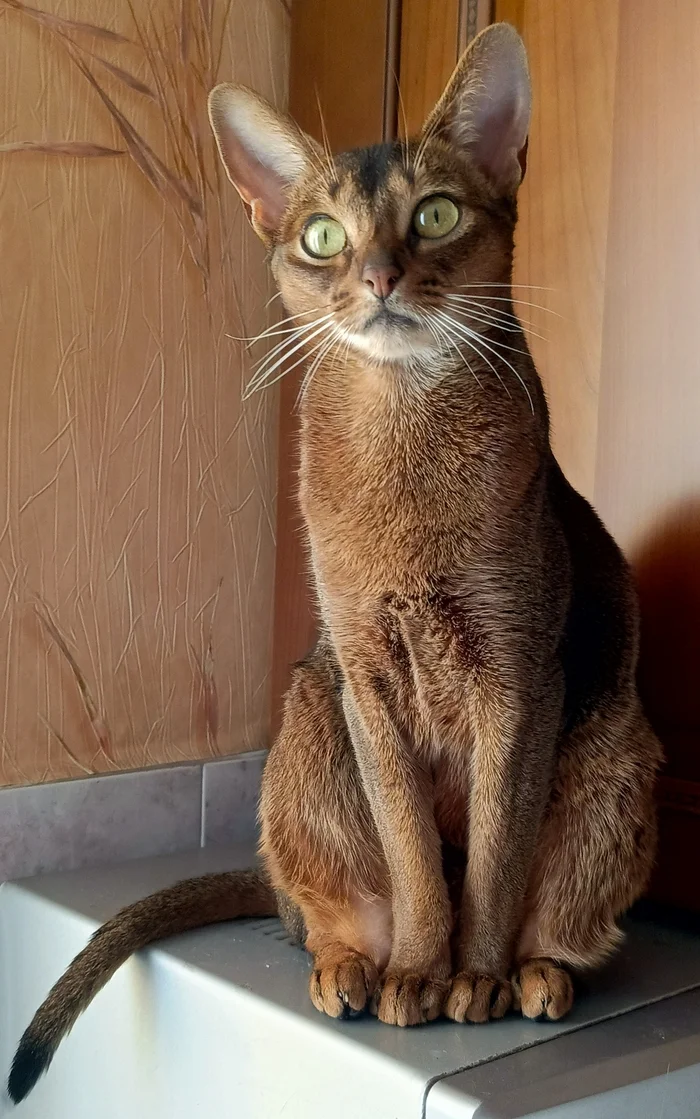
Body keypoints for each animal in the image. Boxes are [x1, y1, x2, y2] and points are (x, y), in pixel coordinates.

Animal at [6, 21, 657, 1105]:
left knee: (555, 911)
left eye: (435, 214)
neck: (401, 436)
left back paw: (532, 974)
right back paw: (355, 968)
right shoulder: (364, 672)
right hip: (311, 712)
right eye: (321, 236)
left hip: (616, 753)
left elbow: (492, 855)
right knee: (320, 912)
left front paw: (472, 975)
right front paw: (421, 970)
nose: (381, 277)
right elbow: (413, 856)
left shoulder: (519, 678)